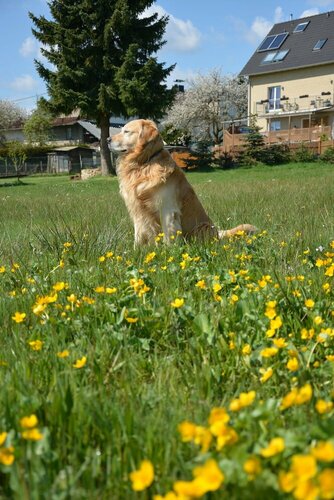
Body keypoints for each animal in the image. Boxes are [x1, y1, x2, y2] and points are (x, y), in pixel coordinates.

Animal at [109, 119, 256, 248]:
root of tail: (217, 234)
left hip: (202, 227)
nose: (107, 140)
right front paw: (135, 252)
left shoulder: (167, 209)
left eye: (126, 131)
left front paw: (168, 252)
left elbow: (169, 236)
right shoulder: (137, 211)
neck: (144, 163)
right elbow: (138, 235)